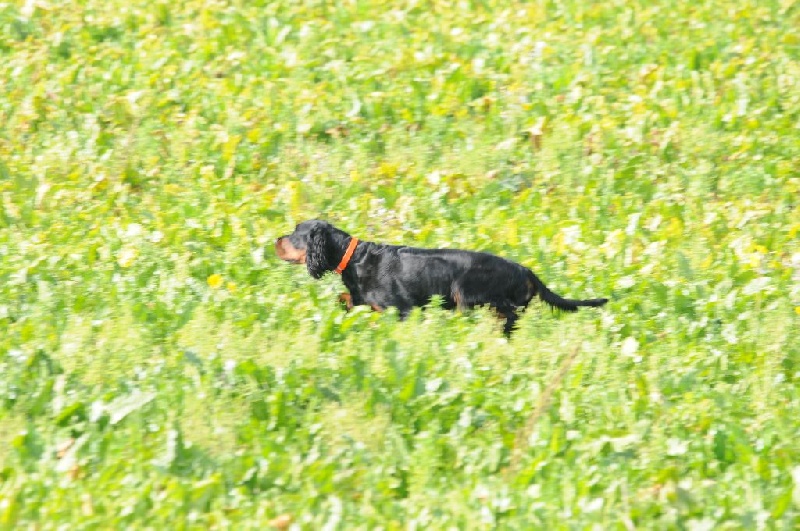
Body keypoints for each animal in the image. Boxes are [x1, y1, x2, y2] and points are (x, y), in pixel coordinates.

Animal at [276, 220, 608, 335]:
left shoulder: (403, 310)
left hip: (466, 292)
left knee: (505, 314)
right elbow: (346, 298)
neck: (354, 257)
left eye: (295, 232)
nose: (276, 241)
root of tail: (525, 270)